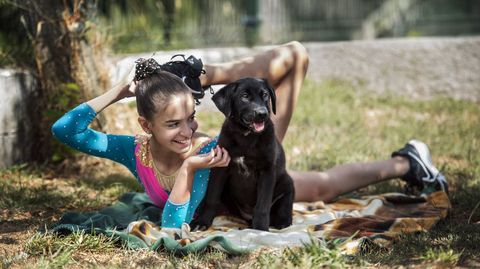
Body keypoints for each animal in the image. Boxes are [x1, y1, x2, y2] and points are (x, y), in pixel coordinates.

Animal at [193, 76, 294, 229]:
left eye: (265, 95)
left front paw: (260, 228)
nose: (262, 113)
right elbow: (212, 197)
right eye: (244, 96)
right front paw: (203, 221)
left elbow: (262, 205)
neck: (246, 136)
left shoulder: (267, 170)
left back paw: (281, 221)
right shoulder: (220, 168)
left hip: (287, 182)